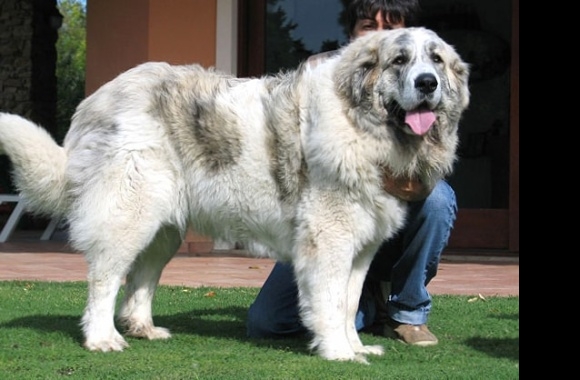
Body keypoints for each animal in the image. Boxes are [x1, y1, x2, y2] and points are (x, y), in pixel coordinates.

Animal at [0, 27, 472, 362]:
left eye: (436, 60)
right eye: (400, 60)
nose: (427, 83)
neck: (361, 122)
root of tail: (97, 98)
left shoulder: (360, 248)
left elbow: (348, 301)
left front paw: (355, 347)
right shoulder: (330, 241)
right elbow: (330, 300)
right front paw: (339, 353)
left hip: (164, 229)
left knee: (140, 279)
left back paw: (143, 327)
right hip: (129, 215)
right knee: (105, 278)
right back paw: (102, 338)